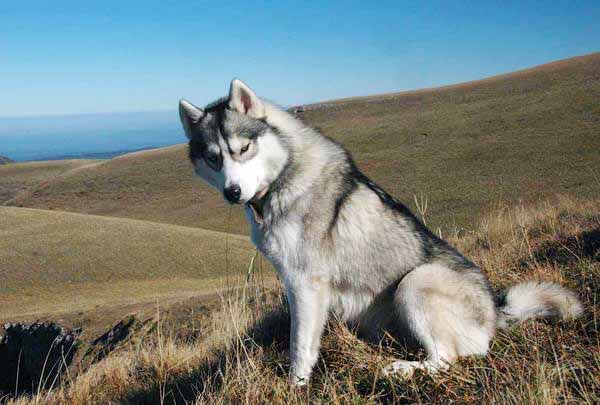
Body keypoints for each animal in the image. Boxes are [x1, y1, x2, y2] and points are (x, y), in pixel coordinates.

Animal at [178, 79, 580, 386]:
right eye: (214, 158)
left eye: (243, 148)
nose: (232, 192)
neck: (283, 179)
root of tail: (496, 310)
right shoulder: (294, 284)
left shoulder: (307, 283)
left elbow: (300, 346)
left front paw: (296, 386)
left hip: (416, 282)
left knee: (447, 358)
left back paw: (403, 369)